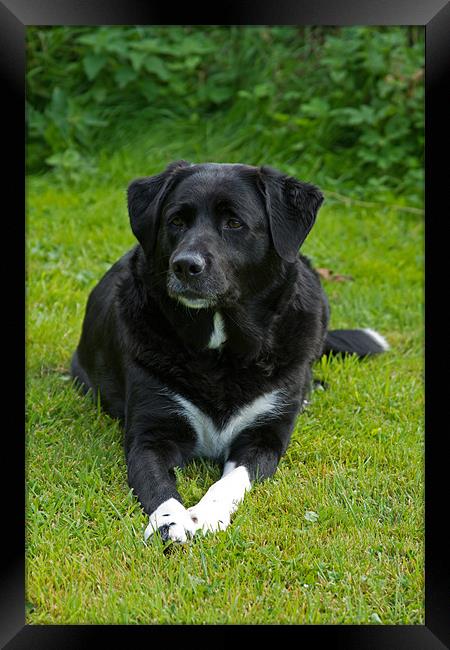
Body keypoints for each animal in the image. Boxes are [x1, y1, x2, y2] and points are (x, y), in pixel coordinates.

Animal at [69, 162, 386, 540]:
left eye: (234, 223)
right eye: (176, 221)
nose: (185, 265)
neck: (219, 350)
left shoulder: (263, 439)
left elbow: (230, 481)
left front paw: (206, 514)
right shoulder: (150, 434)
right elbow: (157, 483)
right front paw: (170, 521)